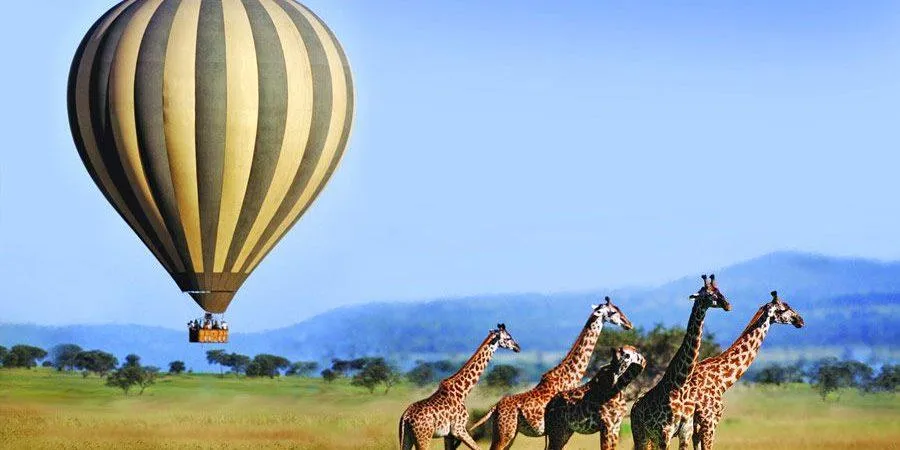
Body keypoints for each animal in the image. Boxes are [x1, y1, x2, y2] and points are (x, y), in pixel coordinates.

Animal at [468, 298, 636, 448]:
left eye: (619, 308)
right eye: (613, 311)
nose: (629, 324)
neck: (569, 376)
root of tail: (494, 408)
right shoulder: (561, 429)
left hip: (510, 434)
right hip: (505, 433)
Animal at [624, 272, 732, 448]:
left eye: (719, 290)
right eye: (709, 294)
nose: (728, 305)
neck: (680, 384)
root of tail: (634, 407)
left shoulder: (685, 431)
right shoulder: (665, 431)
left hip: (652, 438)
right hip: (640, 434)